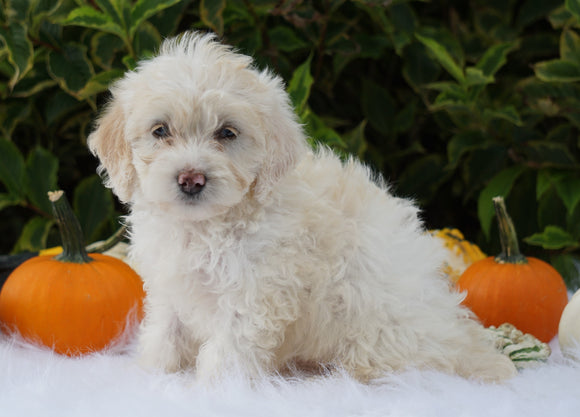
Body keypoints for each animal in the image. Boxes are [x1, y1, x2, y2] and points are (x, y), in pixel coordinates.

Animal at [88, 31, 516, 384]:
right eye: (160, 130)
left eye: (227, 133)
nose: (191, 179)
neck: (204, 226)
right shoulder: (170, 288)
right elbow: (164, 335)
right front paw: (155, 376)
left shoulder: (252, 295)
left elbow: (227, 352)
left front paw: (216, 391)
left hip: (380, 326)